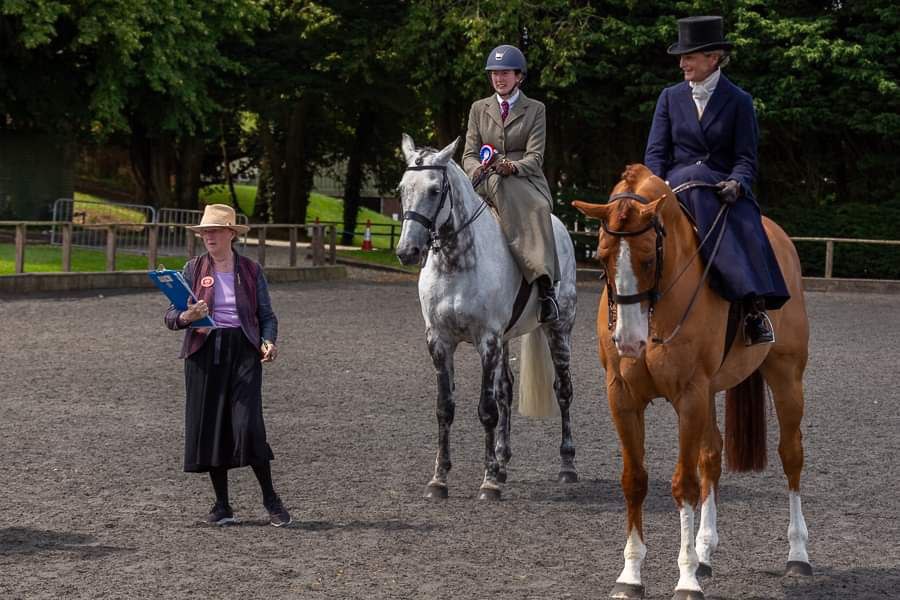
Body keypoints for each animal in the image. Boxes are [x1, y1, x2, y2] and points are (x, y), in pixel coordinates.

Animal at [398, 134, 580, 500]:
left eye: (435, 190)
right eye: (401, 189)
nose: (407, 252)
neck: (455, 263)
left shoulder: (487, 340)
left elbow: (486, 410)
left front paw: (489, 482)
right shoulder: (439, 341)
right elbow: (445, 408)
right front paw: (439, 480)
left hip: (559, 328)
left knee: (563, 389)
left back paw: (566, 466)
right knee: (506, 390)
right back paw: (502, 460)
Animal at [576, 164, 816, 600]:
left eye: (647, 260)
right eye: (601, 258)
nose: (629, 342)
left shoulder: (689, 396)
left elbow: (684, 484)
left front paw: (685, 579)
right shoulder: (623, 397)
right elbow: (634, 481)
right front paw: (630, 575)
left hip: (786, 377)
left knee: (791, 455)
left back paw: (798, 556)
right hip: (712, 393)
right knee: (712, 456)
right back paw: (705, 552)